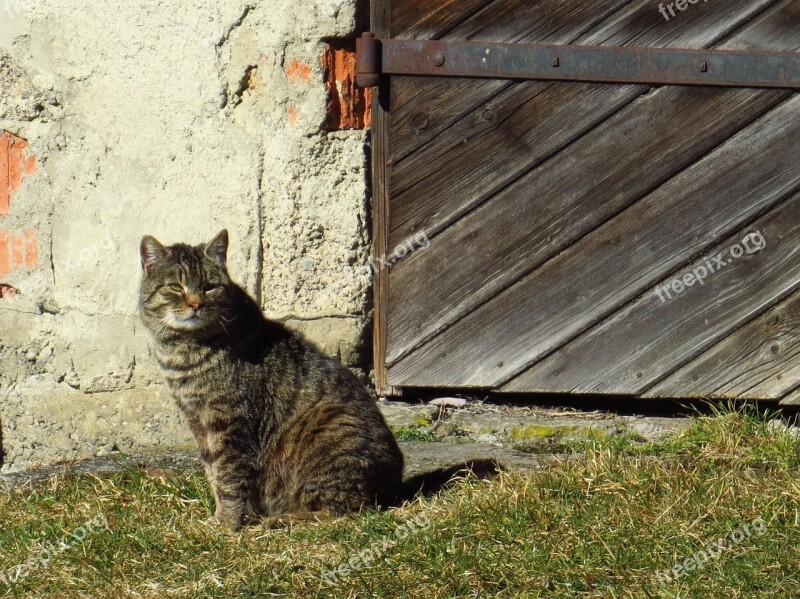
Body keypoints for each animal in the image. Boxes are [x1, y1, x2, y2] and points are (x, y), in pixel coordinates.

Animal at [141, 232, 496, 532]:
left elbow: (228, 477)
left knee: (347, 511)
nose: (196, 304)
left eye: (209, 287)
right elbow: (213, 474)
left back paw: (281, 519)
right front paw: (219, 516)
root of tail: (395, 486)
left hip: (328, 434)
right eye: (175, 286)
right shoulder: (198, 423)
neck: (183, 353)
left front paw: (226, 525)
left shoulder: (231, 423)